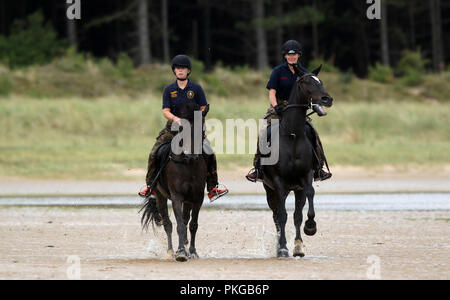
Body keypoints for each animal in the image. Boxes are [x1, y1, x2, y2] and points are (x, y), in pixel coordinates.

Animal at [141, 102, 209, 262]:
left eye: (201, 128)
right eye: (182, 129)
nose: (191, 156)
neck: (188, 164)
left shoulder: (197, 198)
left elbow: (192, 225)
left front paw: (192, 252)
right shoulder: (177, 197)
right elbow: (179, 226)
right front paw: (181, 252)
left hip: (188, 200)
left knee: (185, 219)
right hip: (160, 196)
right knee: (168, 224)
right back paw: (170, 251)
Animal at [262, 65, 332, 258]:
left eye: (321, 81)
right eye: (306, 82)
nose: (327, 99)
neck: (292, 135)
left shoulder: (305, 177)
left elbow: (306, 202)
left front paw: (309, 229)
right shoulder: (278, 182)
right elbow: (282, 216)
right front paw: (282, 248)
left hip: (295, 189)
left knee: (296, 214)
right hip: (270, 189)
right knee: (276, 215)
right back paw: (280, 246)